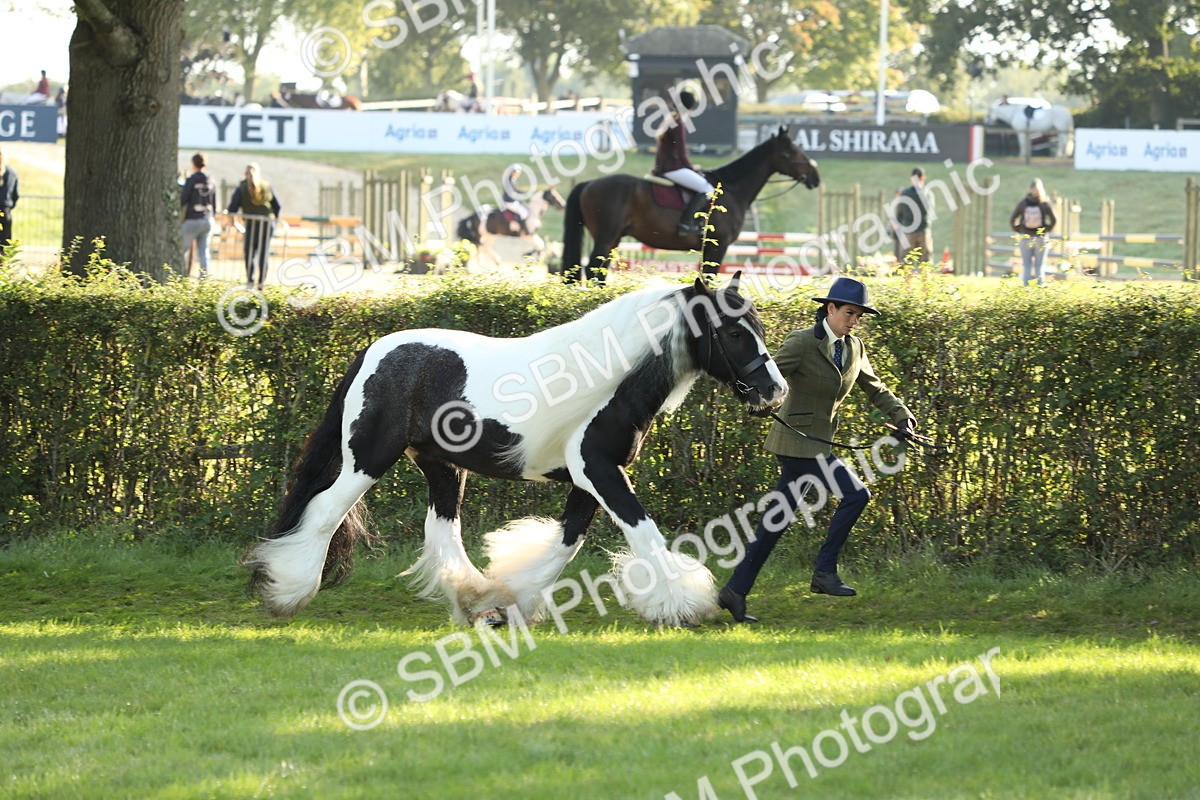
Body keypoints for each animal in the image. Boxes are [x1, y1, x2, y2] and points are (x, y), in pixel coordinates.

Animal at [243, 272, 788, 628]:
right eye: (734, 332)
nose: (774, 391)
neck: (614, 381)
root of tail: (372, 352)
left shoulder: (588, 480)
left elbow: (566, 543)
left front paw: (514, 600)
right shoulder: (601, 472)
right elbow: (644, 534)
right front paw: (682, 604)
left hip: (442, 467)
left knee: (442, 532)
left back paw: (475, 602)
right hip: (368, 460)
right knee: (322, 514)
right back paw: (287, 593)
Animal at [560, 126, 819, 283]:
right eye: (793, 150)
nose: (815, 177)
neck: (732, 188)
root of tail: (589, 183)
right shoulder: (718, 246)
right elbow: (710, 278)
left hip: (613, 239)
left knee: (599, 274)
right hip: (605, 238)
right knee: (592, 271)